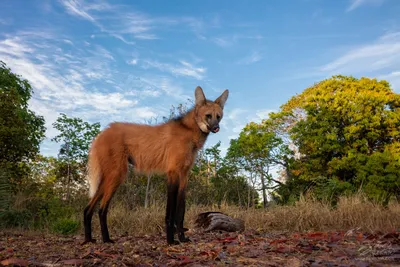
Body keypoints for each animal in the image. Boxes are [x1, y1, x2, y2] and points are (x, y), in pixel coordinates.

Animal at [83, 86, 230, 245]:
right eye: (208, 116)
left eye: (218, 116)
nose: (216, 128)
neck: (190, 132)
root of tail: (103, 132)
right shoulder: (173, 172)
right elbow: (170, 212)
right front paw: (171, 240)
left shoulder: (184, 175)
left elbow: (180, 211)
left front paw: (182, 238)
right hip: (118, 174)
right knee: (102, 209)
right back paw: (106, 239)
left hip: (110, 175)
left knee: (88, 208)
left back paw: (89, 239)